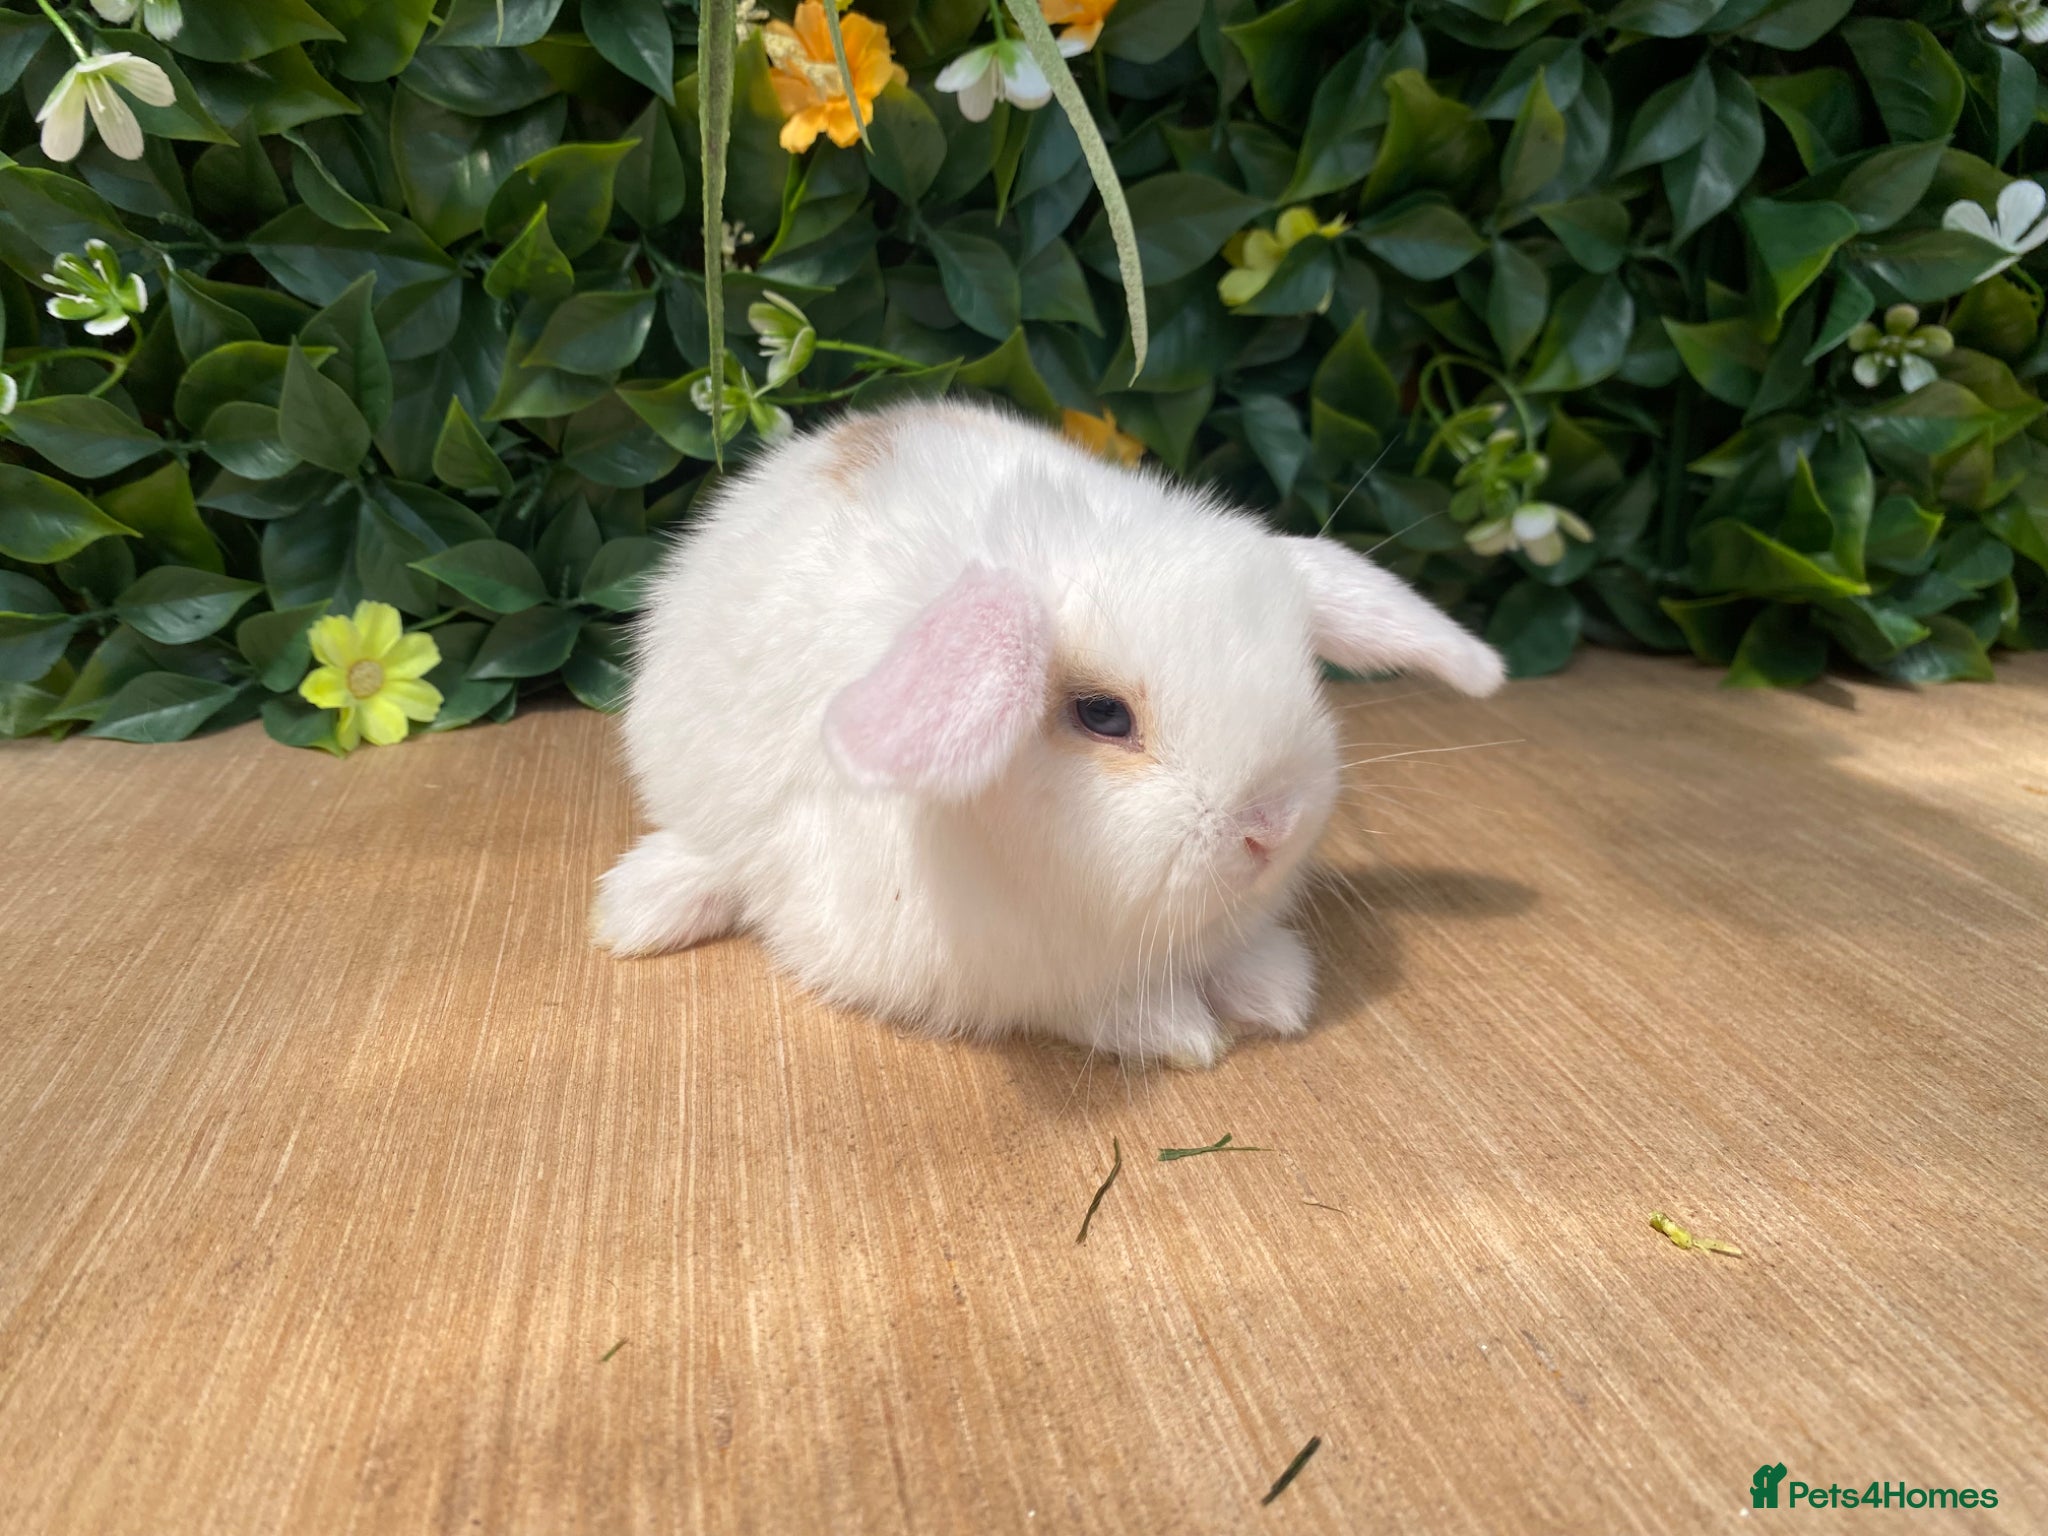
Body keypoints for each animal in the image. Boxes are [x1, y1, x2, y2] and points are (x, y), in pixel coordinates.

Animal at [594, 398, 1504, 1068]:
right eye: (1102, 714)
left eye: (1299, 667)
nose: (1271, 829)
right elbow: (1102, 1008)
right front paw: (1177, 1031)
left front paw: (1272, 989)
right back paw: (638, 910)